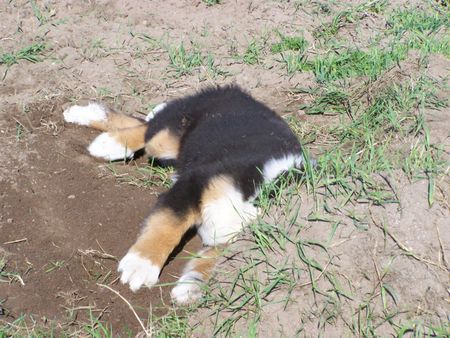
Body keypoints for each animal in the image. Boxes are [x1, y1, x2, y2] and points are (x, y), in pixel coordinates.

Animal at [64, 86, 306, 302]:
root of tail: (234, 91)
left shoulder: (223, 238)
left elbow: (212, 260)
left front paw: (191, 287)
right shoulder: (193, 185)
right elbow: (167, 226)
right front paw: (140, 266)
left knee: (145, 122)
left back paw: (85, 115)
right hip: (166, 141)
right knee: (149, 128)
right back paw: (108, 142)